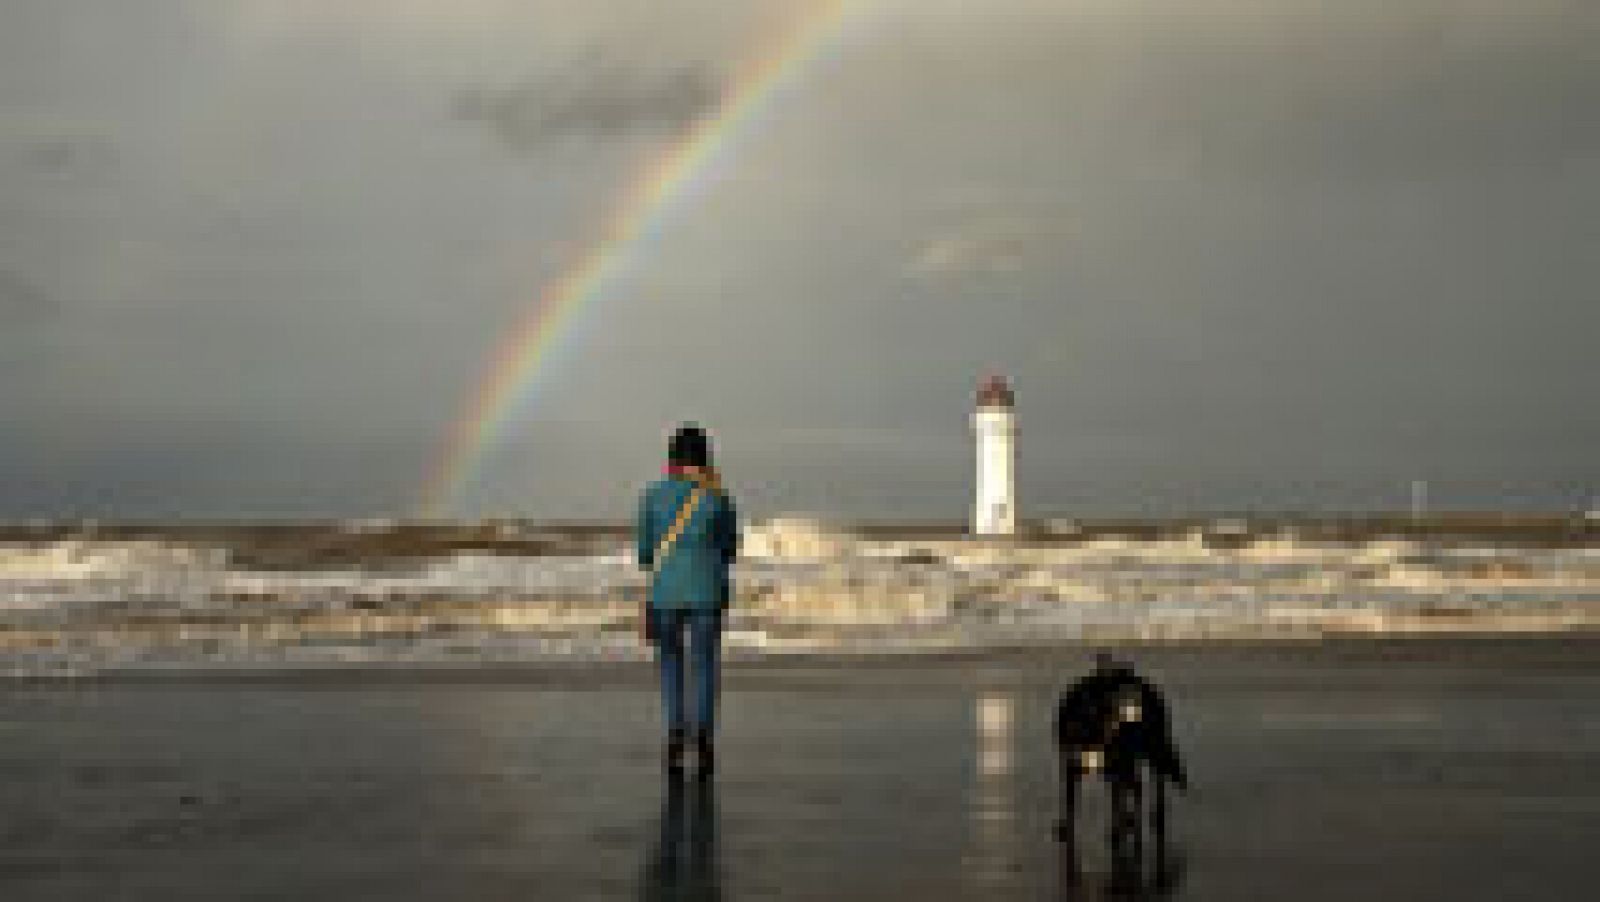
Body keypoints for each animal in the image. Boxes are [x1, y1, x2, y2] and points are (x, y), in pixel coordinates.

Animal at [1049, 652, 1190, 850]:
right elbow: (1070, 801)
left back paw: (1149, 817)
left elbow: (1120, 798)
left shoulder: (1118, 764)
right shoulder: (1073, 765)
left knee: (1152, 785)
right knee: (1136, 785)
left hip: (1145, 758)